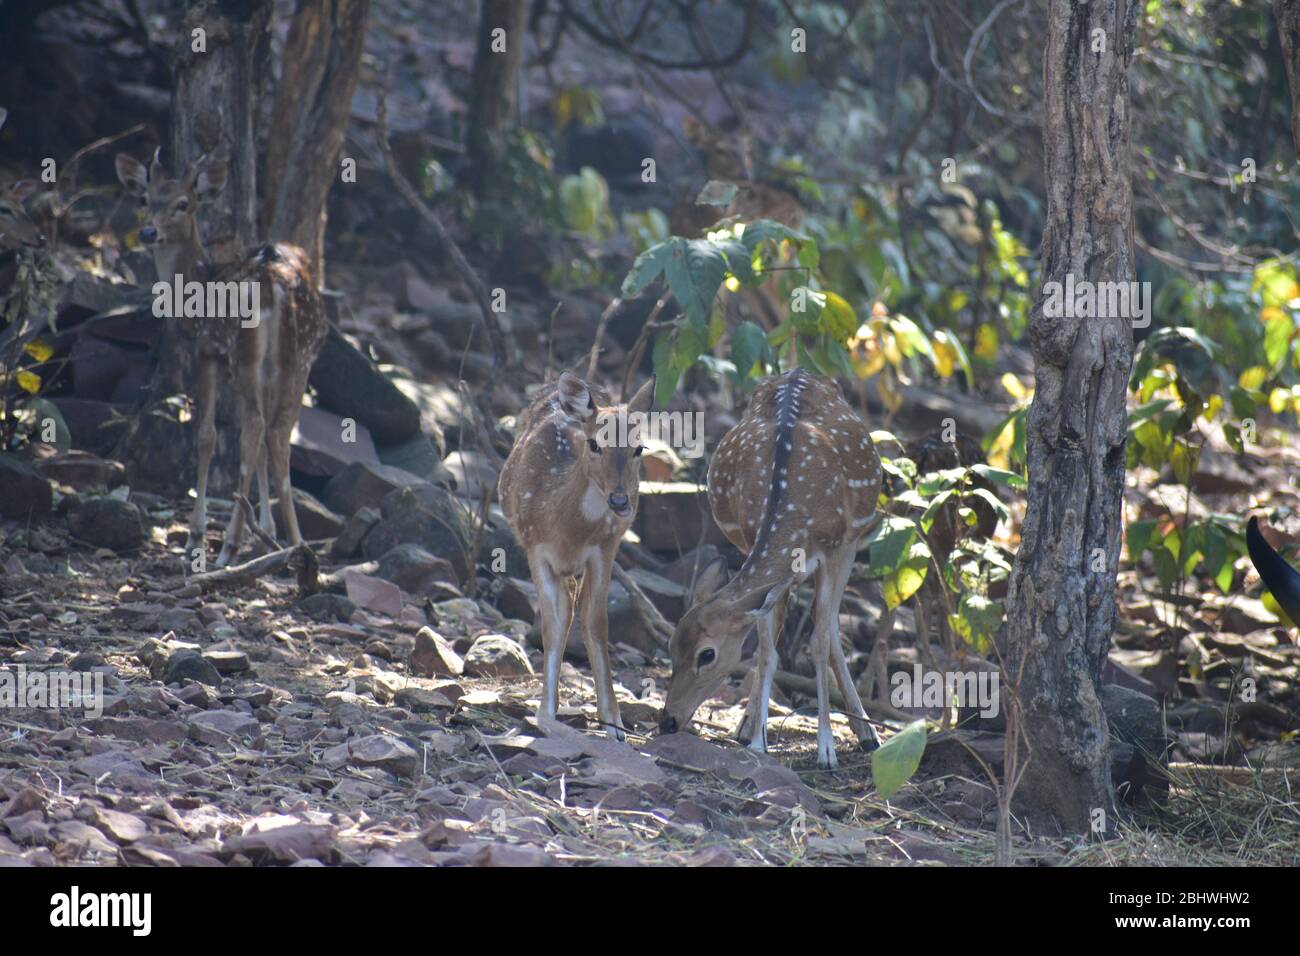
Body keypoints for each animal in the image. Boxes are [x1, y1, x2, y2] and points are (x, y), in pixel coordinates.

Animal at [116, 143, 327, 567]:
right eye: (145, 199)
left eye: (183, 204)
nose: (148, 231)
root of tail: (275, 285)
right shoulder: (261, 368)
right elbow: (258, 448)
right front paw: (266, 530)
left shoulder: (208, 348)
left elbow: (206, 435)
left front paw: (196, 535)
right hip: (299, 356)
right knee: (276, 431)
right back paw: (296, 543)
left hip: (245, 351)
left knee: (257, 429)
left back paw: (227, 546)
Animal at [499, 369, 655, 738]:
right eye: (595, 443)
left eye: (639, 447)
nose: (619, 500)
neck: (567, 530)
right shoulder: (535, 547)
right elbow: (552, 625)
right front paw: (545, 713)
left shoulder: (604, 549)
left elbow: (597, 624)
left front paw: (614, 724)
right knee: (566, 606)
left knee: (575, 605)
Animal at [660, 369, 883, 770]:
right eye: (670, 645)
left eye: (706, 654)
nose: (667, 720)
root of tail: (800, 371)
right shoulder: (752, 541)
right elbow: (766, 650)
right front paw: (757, 740)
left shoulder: (838, 547)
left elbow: (818, 642)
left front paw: (826, 749)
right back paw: (749, 725)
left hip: (855, 540)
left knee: (829, 625)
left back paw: (868, 733)